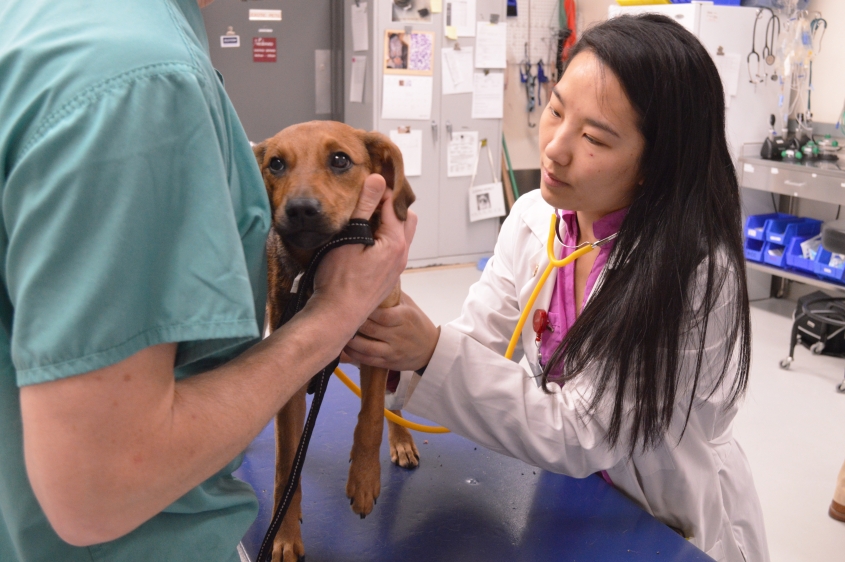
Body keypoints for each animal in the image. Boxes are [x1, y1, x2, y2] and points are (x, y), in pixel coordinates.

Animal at [252, 121, 420, 560]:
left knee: (394, 401)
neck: (315, 263)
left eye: (340, 160)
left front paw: (363, 480)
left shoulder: (378, 347)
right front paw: (284, 535)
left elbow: (372, 416)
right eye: (276, 164)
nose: (300, 209)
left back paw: (402, 440)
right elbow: (285, 465)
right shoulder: (292, 382)